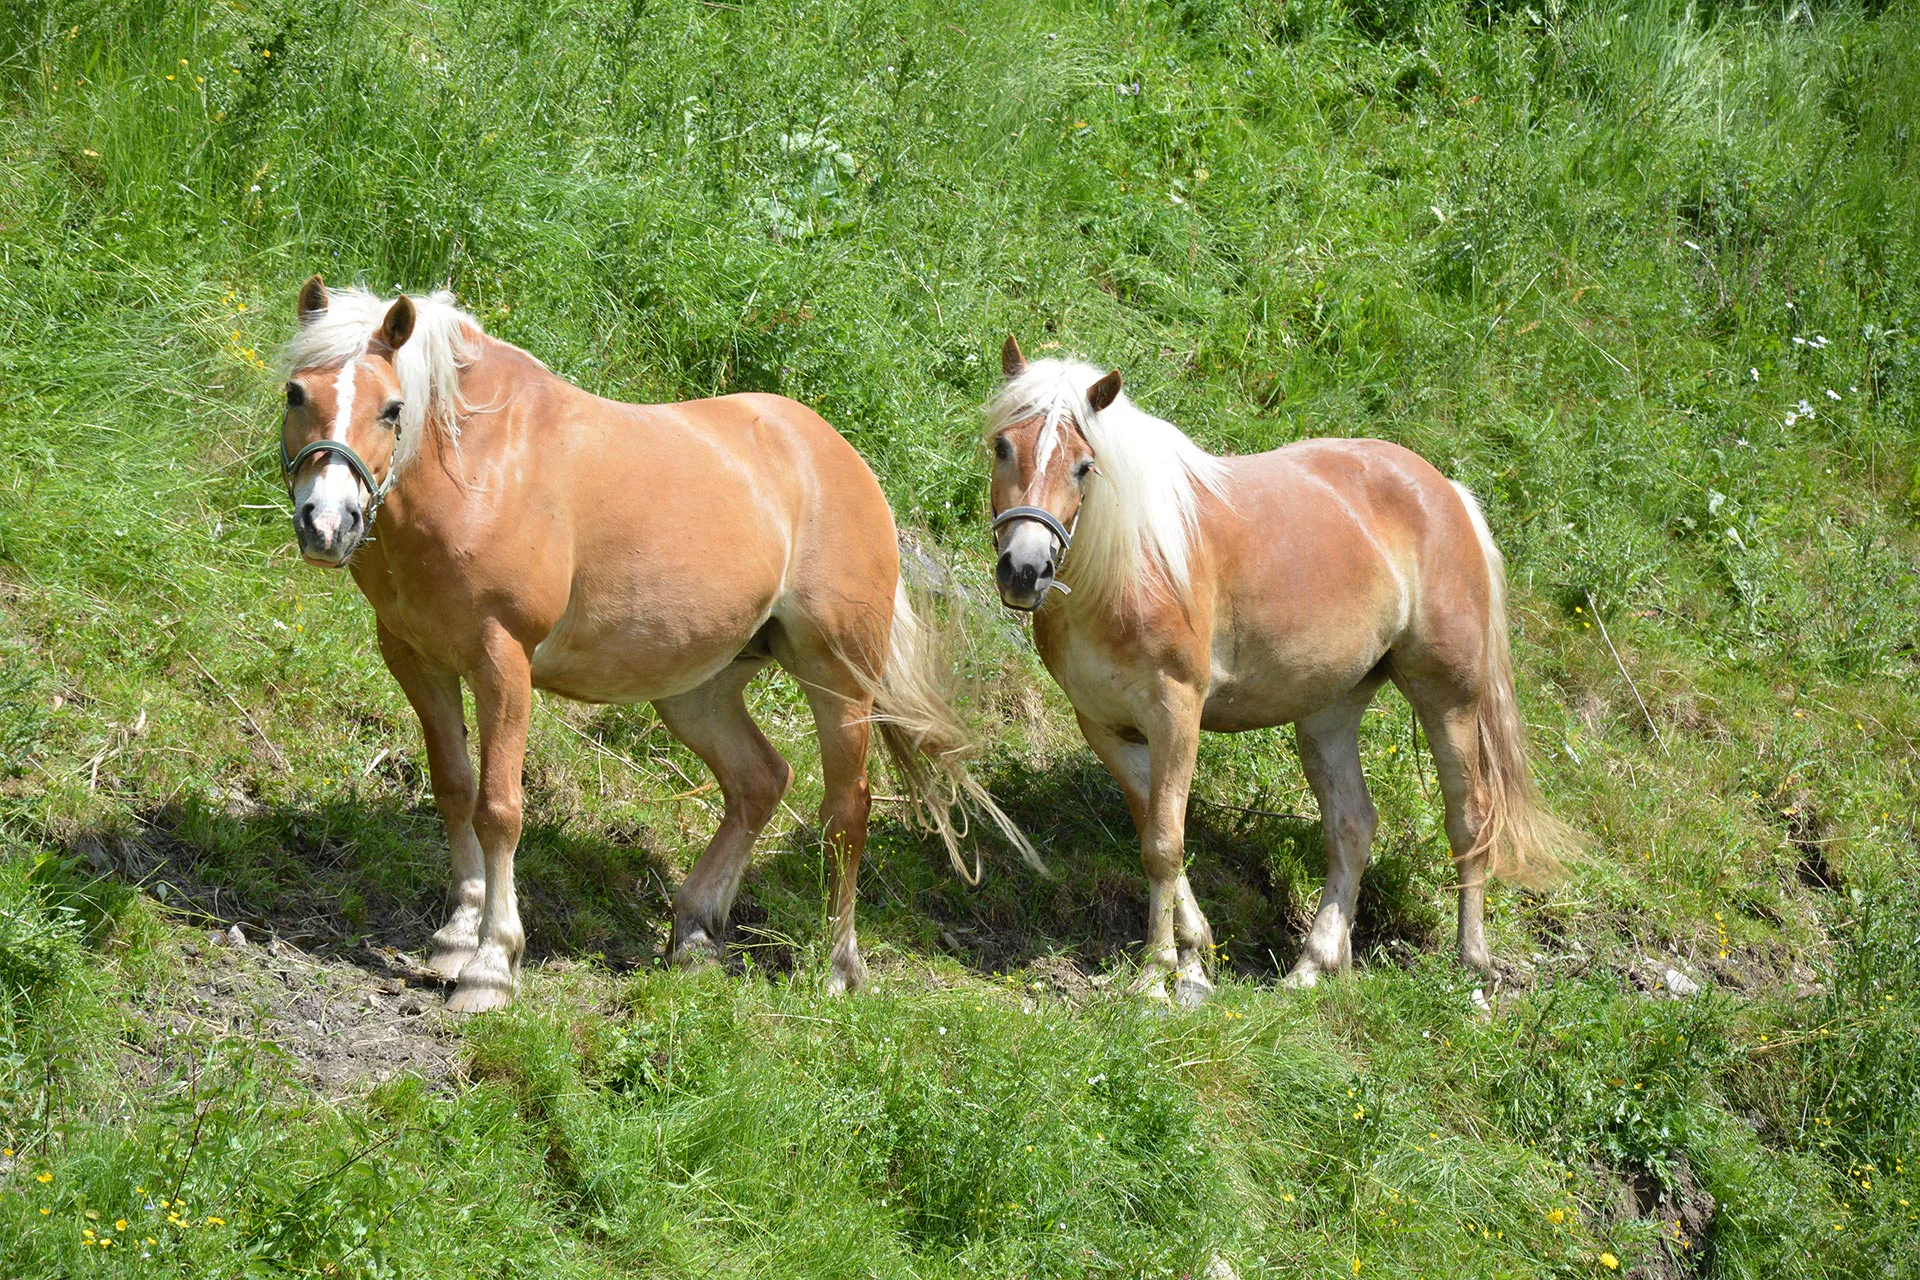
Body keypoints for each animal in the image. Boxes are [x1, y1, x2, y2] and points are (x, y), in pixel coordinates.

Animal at [274, 276, 1031, 1012]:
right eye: (297, 393)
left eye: (391, 409)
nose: (326, 524)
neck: (478, 464)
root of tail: (845, 461)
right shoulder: (416, 657)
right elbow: (455, 789)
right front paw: (456, 937)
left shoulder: (501, 662)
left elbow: (499, 809)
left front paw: (492, 965)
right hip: (698, 691)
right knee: (759, 782)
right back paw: (695, 932)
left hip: (838, 681)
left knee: (847, 812)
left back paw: (839, 967)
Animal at [986, 336, 1578, 1006]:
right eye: (1004, 446)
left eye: (1085, 466)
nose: (1024, 569)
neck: (1128, 566)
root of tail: (1446, 490)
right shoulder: (1107, 728)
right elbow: (1157, 834)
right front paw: (1192, 955)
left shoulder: (1174, 715)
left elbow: (1164, 843)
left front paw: (1156, 973)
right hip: (1328, 714)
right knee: (1352, 826)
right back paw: (1313, 965)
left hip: (1449, 698)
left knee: (1470, 816)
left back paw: (1471, 963)